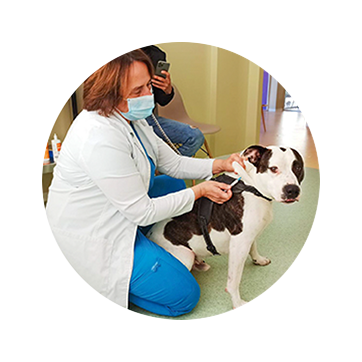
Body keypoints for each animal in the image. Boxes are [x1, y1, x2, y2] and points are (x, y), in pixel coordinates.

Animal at [147, 146, 306, 310]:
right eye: (273, 168)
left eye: (298, 167)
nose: (292, 190)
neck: (251, 186)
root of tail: (149, 234)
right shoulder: (239, 244)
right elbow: (234, 280)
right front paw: (237, 302)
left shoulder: (248, 235)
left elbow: (254, 246)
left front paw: (259, 259)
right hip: (185, 256)